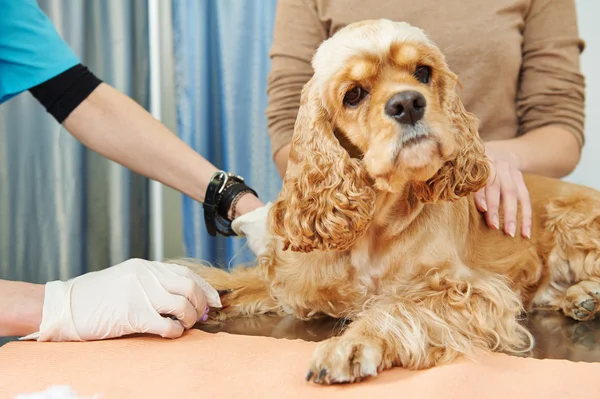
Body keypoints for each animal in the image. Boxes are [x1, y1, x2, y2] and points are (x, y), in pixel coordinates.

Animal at [176, 20, 600, 386]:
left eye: (423, 72)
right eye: (353, 94)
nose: (408, 103)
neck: (376, 224)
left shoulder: (470, 289)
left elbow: (399, 307)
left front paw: (351, 345)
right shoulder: (296, 283)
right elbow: (237, 284)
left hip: (572, 221)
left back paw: (586, 295)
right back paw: (581, 297)